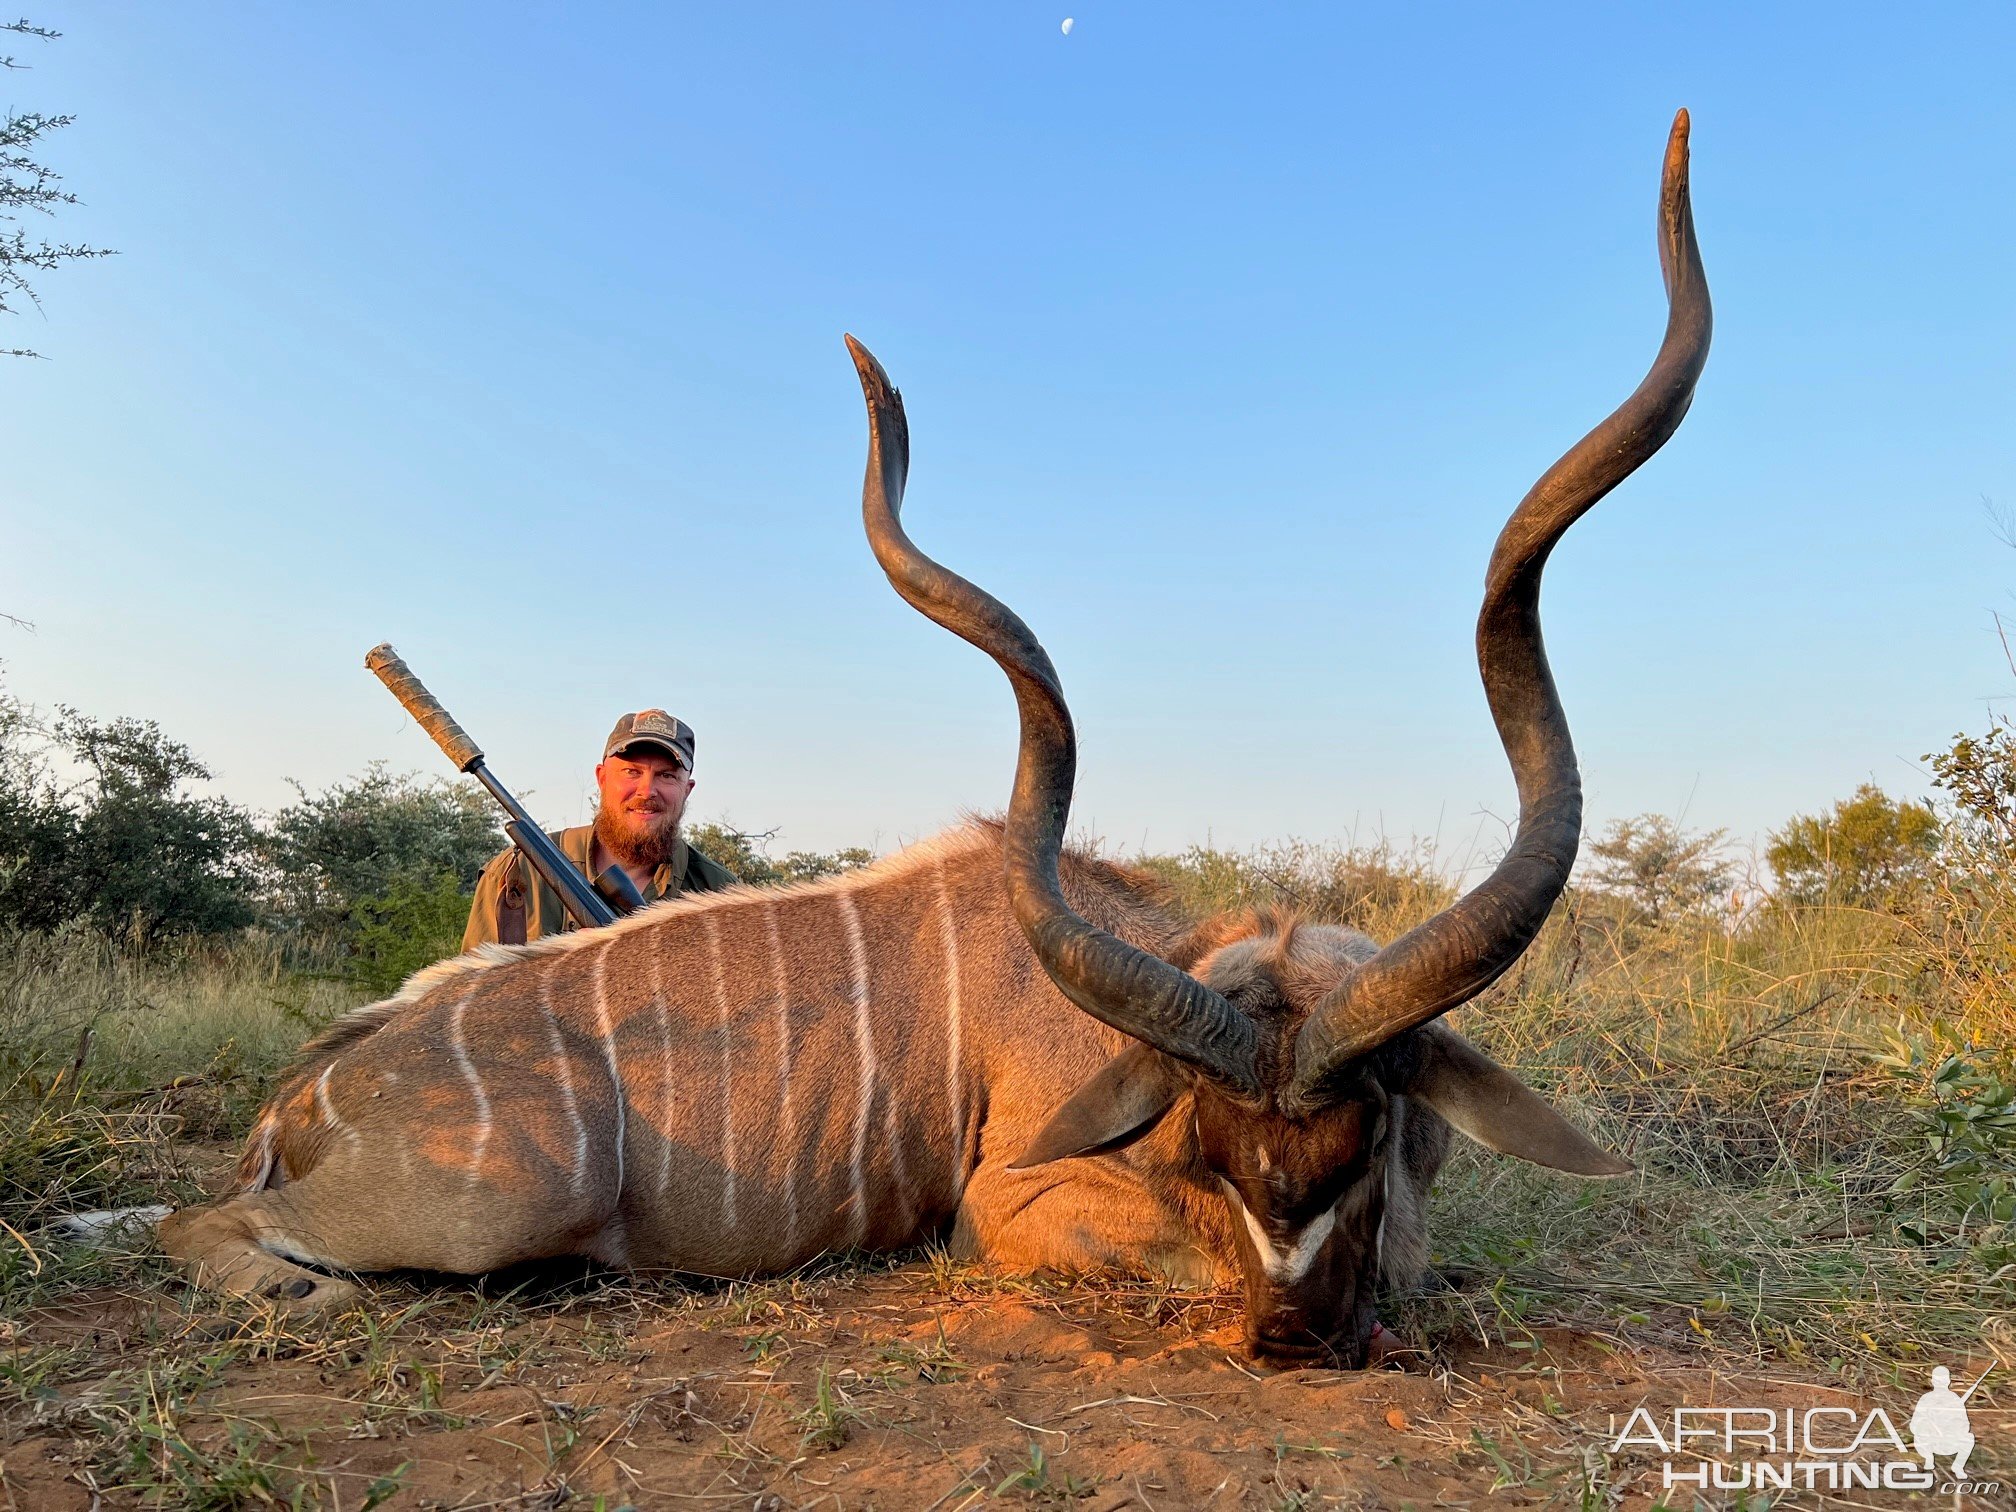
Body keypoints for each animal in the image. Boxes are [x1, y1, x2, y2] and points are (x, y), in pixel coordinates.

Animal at [157, 115, 1709, 1370]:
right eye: (1210, 1152)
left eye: (1369, 1136)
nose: (1291, 1338)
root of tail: (308, 1092)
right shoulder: (1010, 1202)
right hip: (498, 1200)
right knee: (196, 1225)